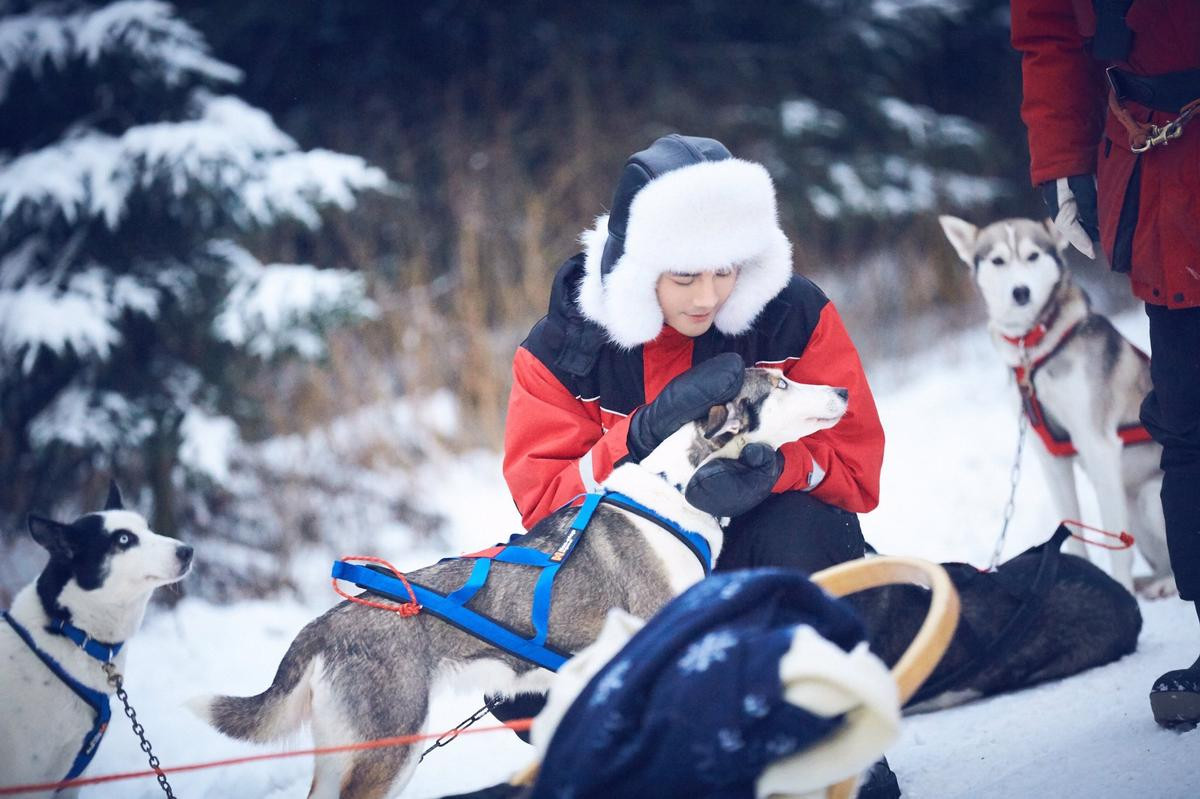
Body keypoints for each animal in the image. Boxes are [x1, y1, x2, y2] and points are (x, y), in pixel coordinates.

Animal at [936, 214, 1171, 595]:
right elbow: (1071, 534)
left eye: (1033, 256)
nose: (1020, 292)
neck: (1034, 350)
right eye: (998, 260)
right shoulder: (1050, 455)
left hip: (1150, 497)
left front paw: (1118, 588)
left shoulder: (1098, 444)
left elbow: (1117, 545)